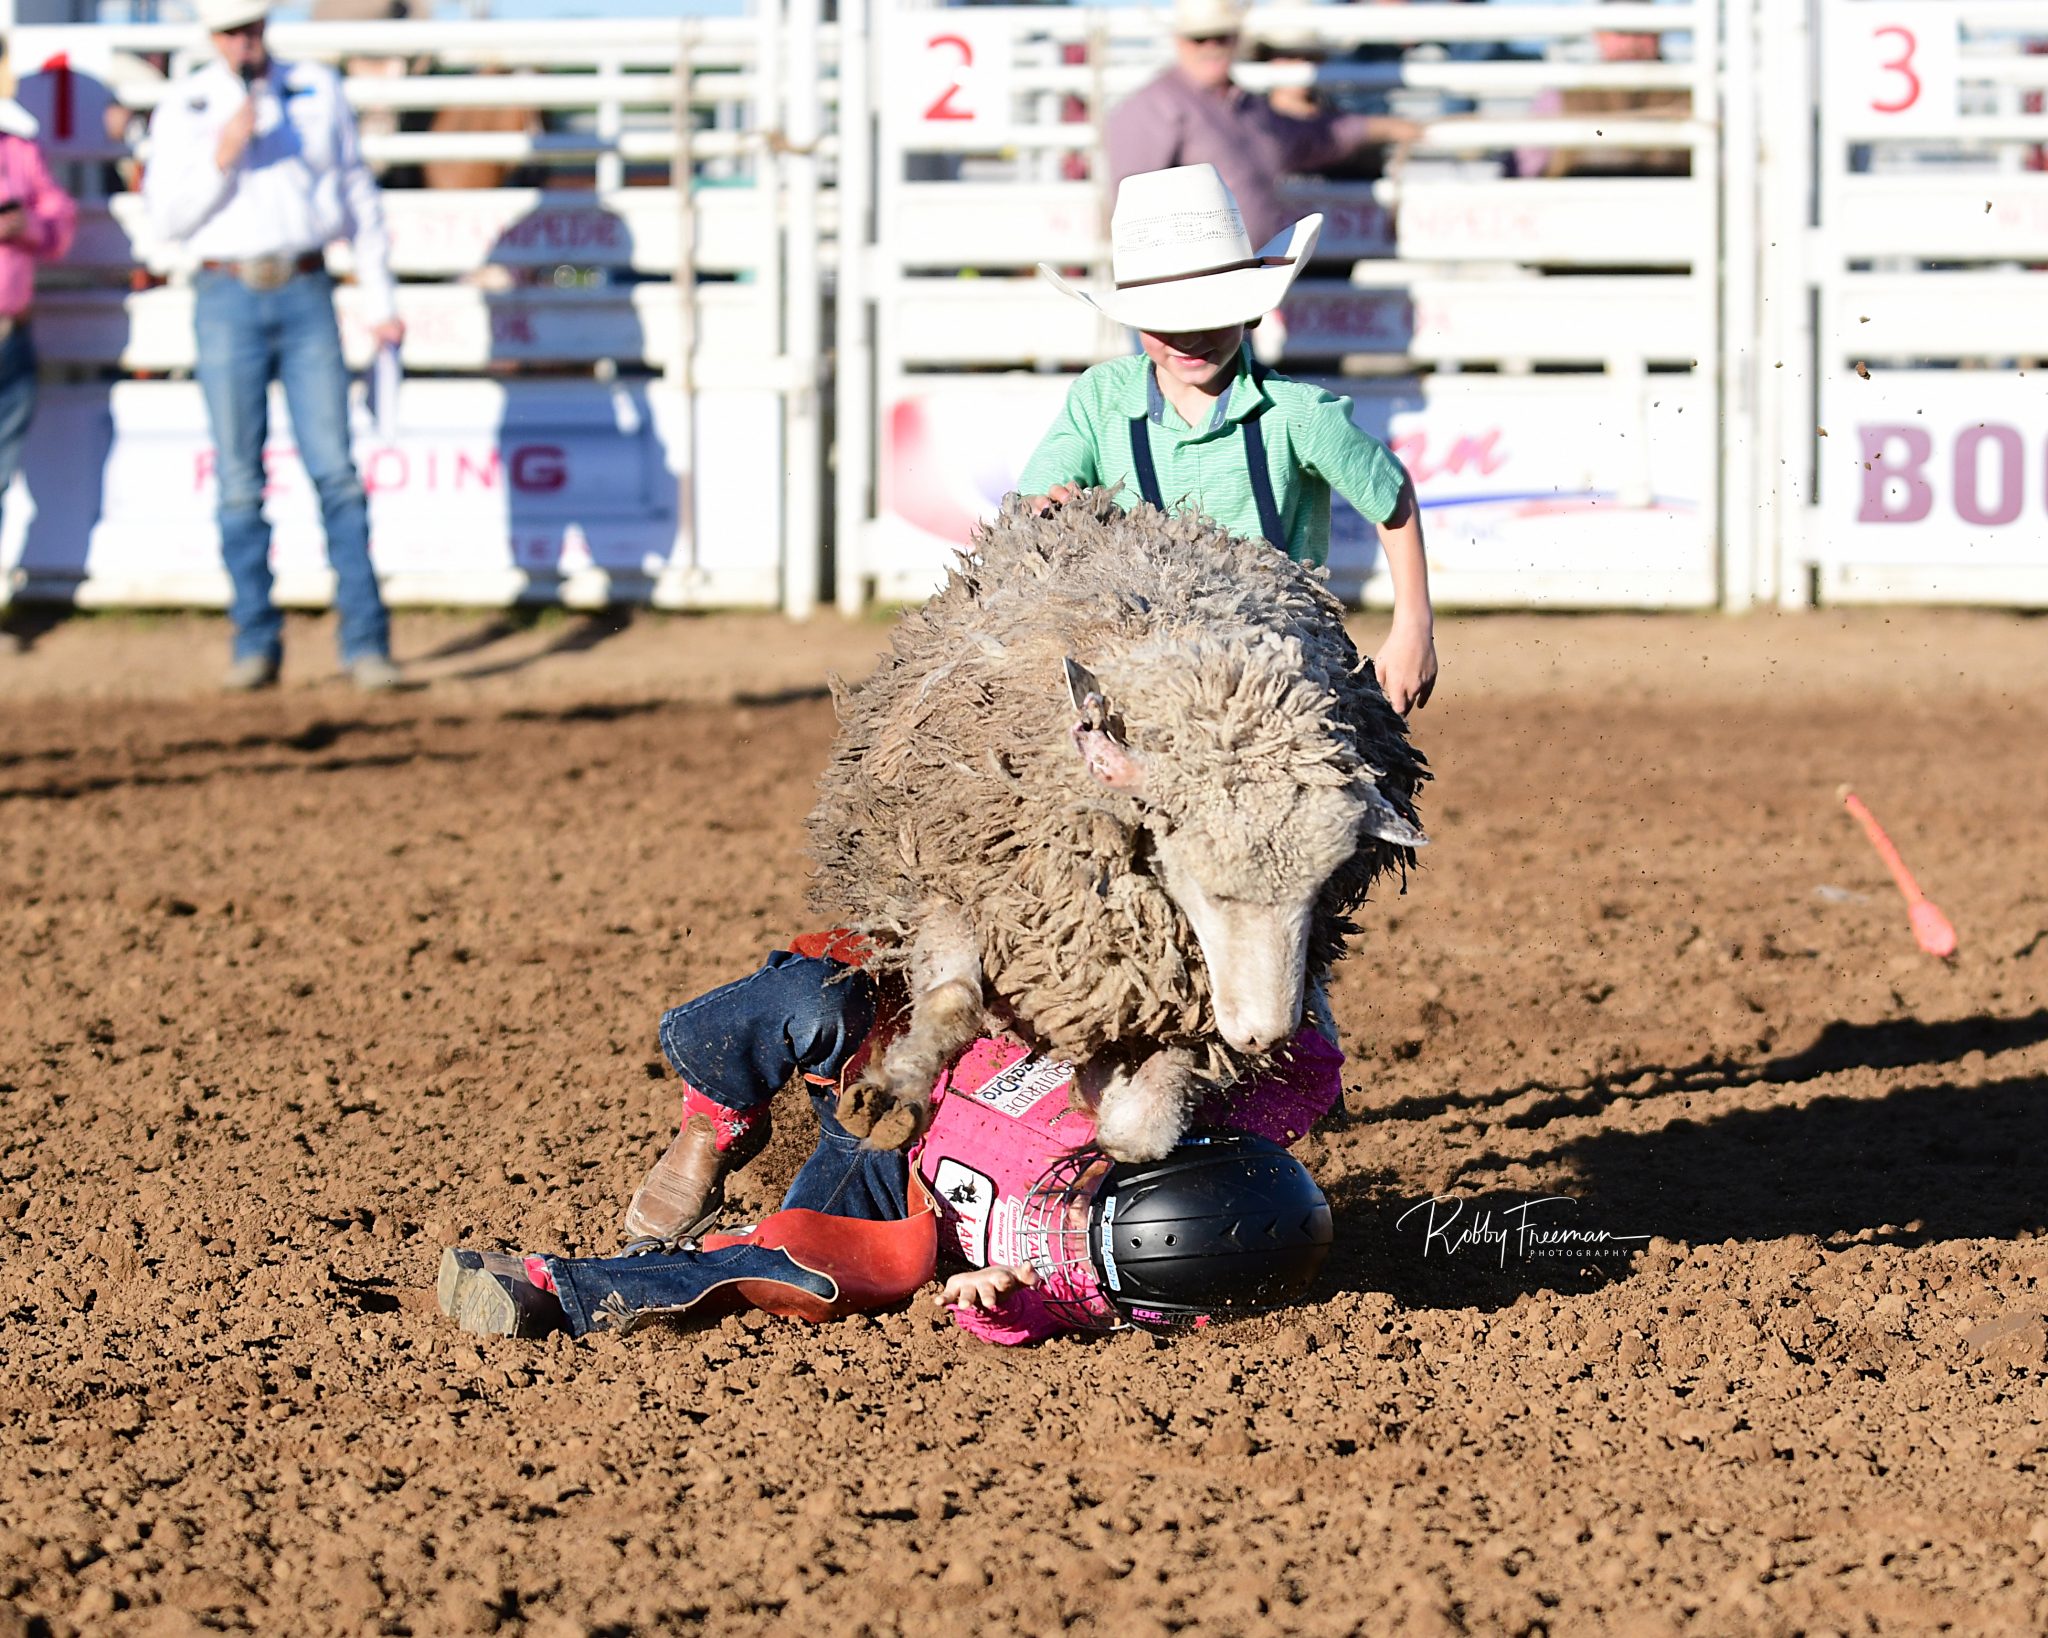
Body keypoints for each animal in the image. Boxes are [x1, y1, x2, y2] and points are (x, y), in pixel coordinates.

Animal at [802, 489, 1425, 1162]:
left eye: (1319, 889)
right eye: (1206, 887)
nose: (1265, 1036)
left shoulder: (1181, 1002)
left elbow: (1138, 1130)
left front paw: (1098, 1109)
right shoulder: (949, 882)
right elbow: (953, 1001)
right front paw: (893, 1095)